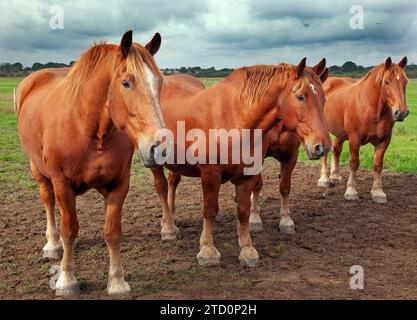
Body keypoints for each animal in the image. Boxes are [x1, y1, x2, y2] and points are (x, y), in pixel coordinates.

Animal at [16, 31, 166, 296]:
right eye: (126, 83)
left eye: (158, 82)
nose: (157, 147)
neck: (88, 128)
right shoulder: (62, 184)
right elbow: (68, 231)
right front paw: (67, 280)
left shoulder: (119, 185)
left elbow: (113, 232)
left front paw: (117, 282)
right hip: (39, 171)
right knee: (48, 201)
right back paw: (52, 244)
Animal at [151, 58, 330, 268]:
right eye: (301, 96)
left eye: (324, 99)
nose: (322, 146)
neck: (236, 119)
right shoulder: (210, 174)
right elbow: (210, 210)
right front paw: (208, 251)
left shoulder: (249, 174)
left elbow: (244, 211)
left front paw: (247, 250)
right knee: (161, 186)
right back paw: (168, 228)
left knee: (173, 180)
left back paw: (171, 216)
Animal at [316, 57, 408, 202]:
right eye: (387, 82)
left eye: (405, 81)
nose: (401, 113)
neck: (370, 108)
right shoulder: (354, 140)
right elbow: (354, 163)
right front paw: (351, 191)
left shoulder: (384, 141)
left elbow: (378, 165)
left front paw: (378, 192)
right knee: (325, 152)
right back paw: (324, 179)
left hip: (340, 132)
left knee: (336, 149)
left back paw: (335, 176)